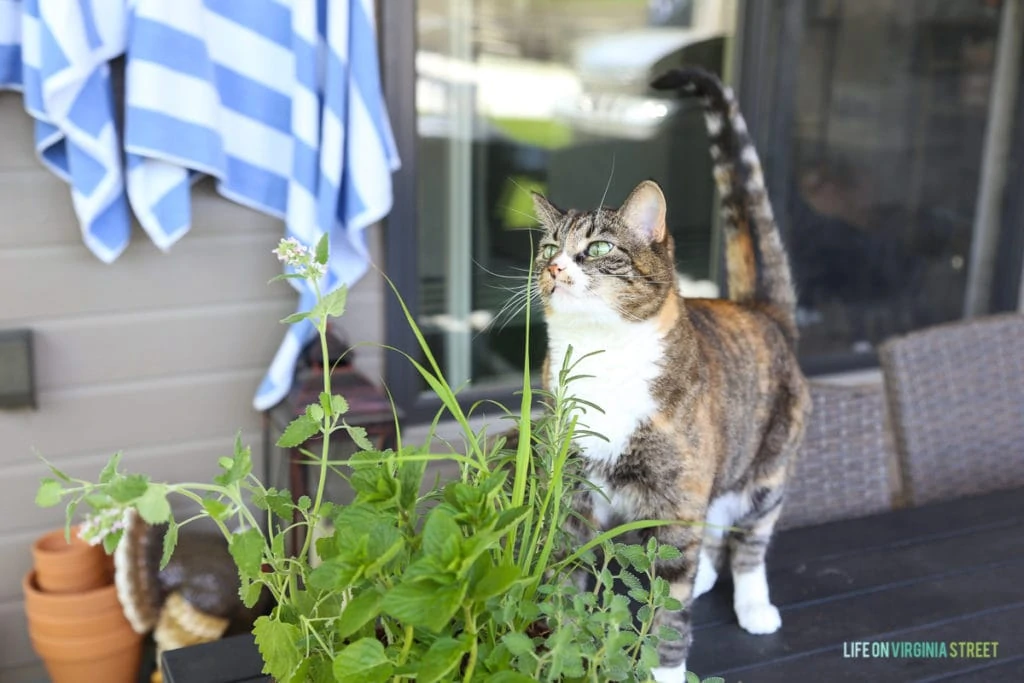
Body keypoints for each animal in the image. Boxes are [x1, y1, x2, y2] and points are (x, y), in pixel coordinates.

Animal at [532, 65, 811, 683]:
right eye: (547, 247)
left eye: (598, 248)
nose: (556, 268)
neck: (604, 356)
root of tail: (761, 309)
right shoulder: (573, 495)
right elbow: (565, 587)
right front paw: (561, 651)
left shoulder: (677, 497)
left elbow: (666, 615)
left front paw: (665, 669)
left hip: (767, 467)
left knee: (749, 538)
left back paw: (754, 605)